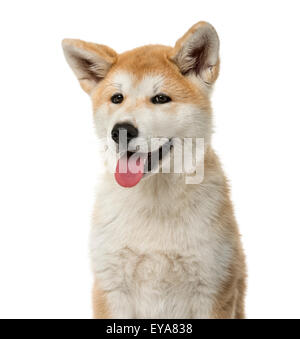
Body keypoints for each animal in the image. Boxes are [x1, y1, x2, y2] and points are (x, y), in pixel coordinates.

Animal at [62, 21, 246, 322]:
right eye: (117, 98)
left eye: (160, 98)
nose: (121, 131)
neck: (155, 204)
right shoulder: (111, 288)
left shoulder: (213, 287)